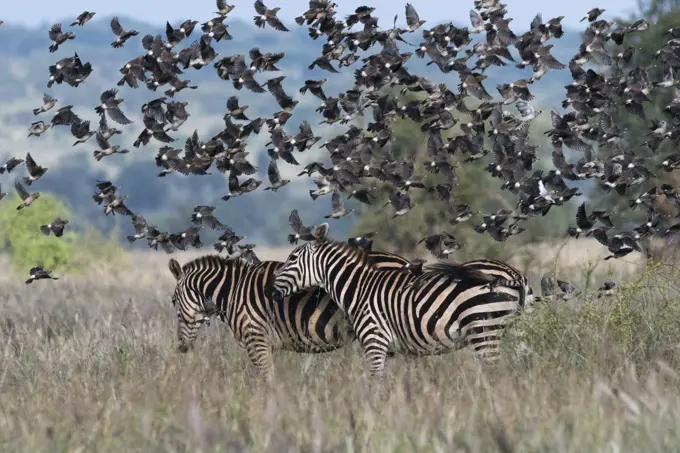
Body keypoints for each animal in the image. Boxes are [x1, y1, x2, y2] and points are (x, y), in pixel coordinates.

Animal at [166, 249, 410, 372]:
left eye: (174, 301)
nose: (181, 347)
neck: (233, 290)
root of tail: (403, 260)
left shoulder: (256, 339)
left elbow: (264, 379)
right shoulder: (268, 345)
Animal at [270, 222, 532, 374]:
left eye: (292, 259)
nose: (269, 291)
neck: (359, 287)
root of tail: (515, 274)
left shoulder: (375, 341)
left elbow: (375, 384)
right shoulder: (395, 349)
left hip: (484, 329)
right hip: (517, 332)